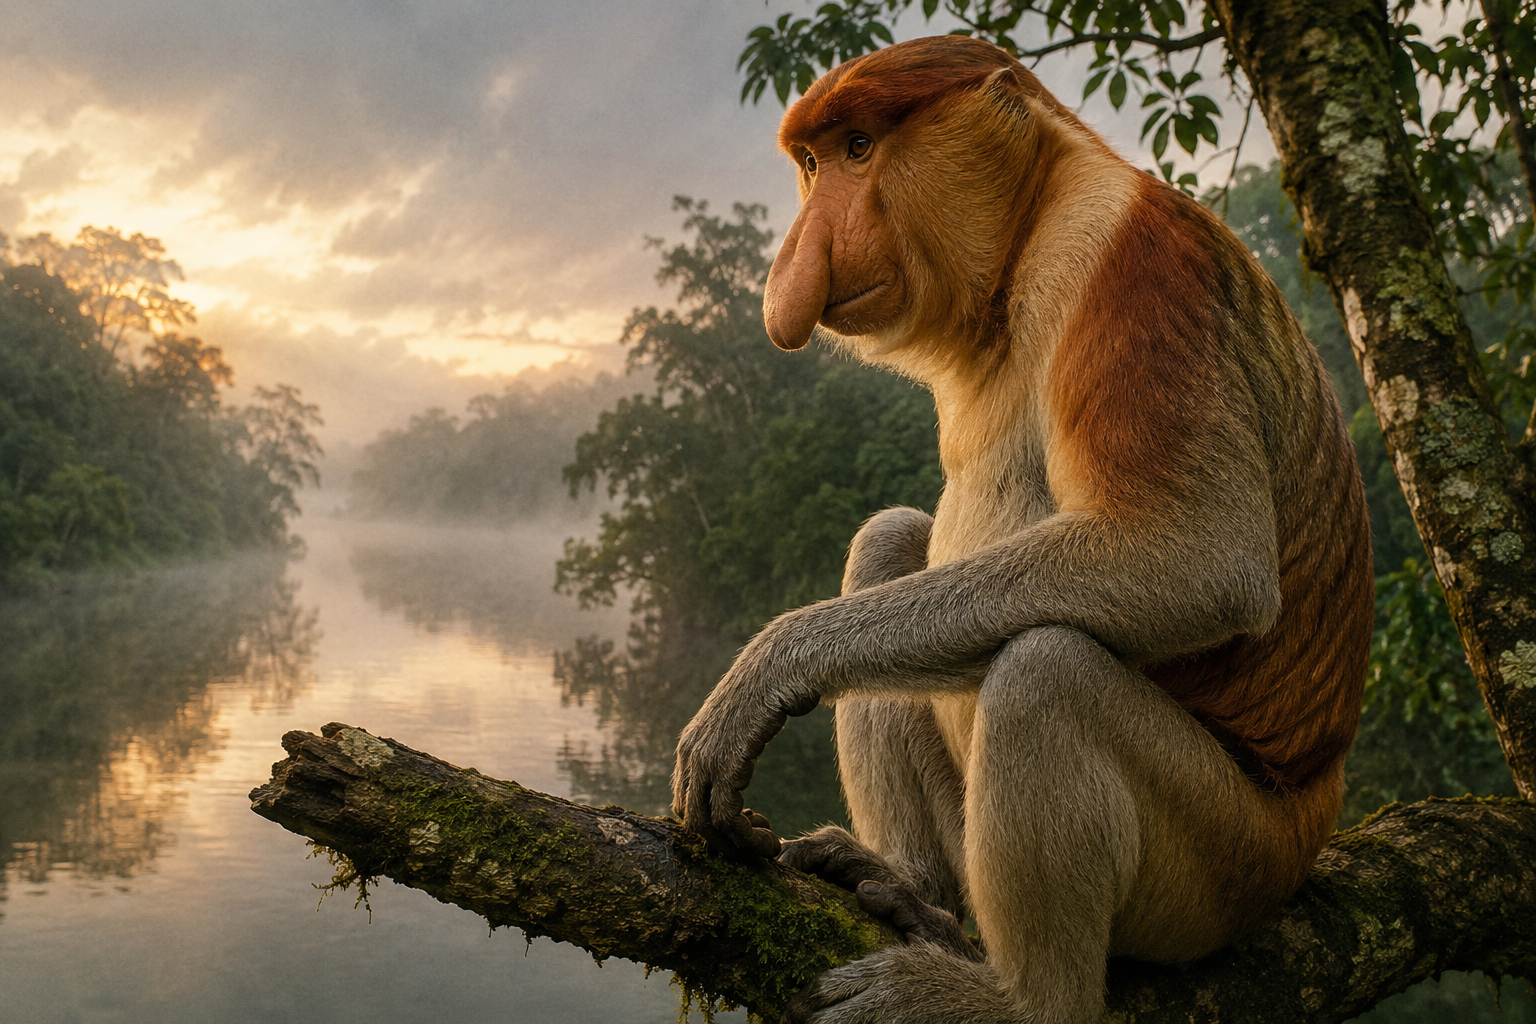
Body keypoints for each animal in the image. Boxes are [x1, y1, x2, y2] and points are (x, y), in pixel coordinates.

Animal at [671, 34, 1373, 1024]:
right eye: (812, 163)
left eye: (858, 148)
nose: (801, 253)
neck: (1025, 236)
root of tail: (1312, 811)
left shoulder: (1128, 264)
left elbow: (1203, 559)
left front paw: (764, 676)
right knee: (889, 542)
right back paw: (908, 887)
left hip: (1226, 863)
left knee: (1048, 673)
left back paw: (1014, 997)